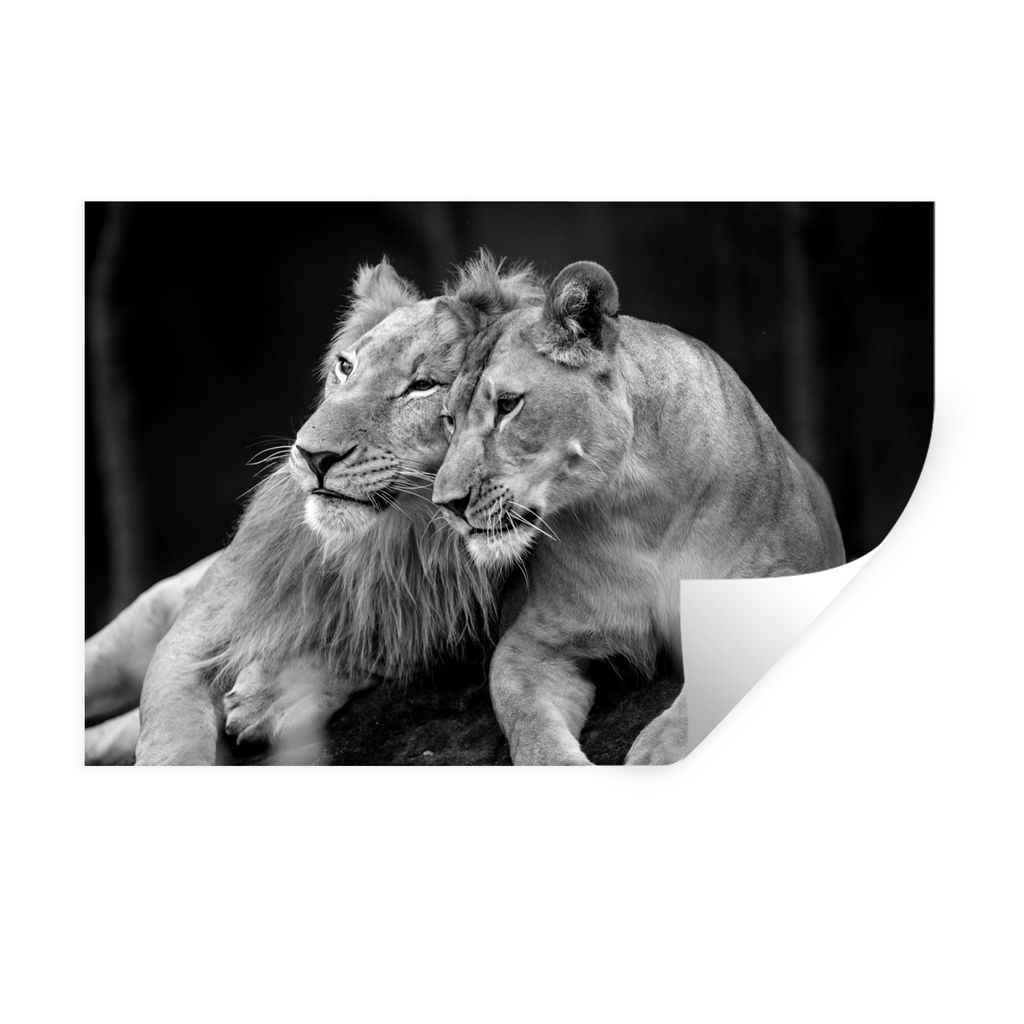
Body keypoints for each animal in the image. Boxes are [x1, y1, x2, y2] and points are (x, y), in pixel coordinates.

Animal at [135, 253, 542, 765]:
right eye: (346, 367)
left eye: (424, 386)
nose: (313, 456)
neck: (394, 540)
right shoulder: (187, 640)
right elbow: (171, 744)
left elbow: (377, 646)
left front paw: (272, 694)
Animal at [432, 260, 846, 765]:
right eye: (449, 420)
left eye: (509, 405)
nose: (446, 504)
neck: (635, 505)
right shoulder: (534, 642)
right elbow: (530, 726)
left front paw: (653, 755)